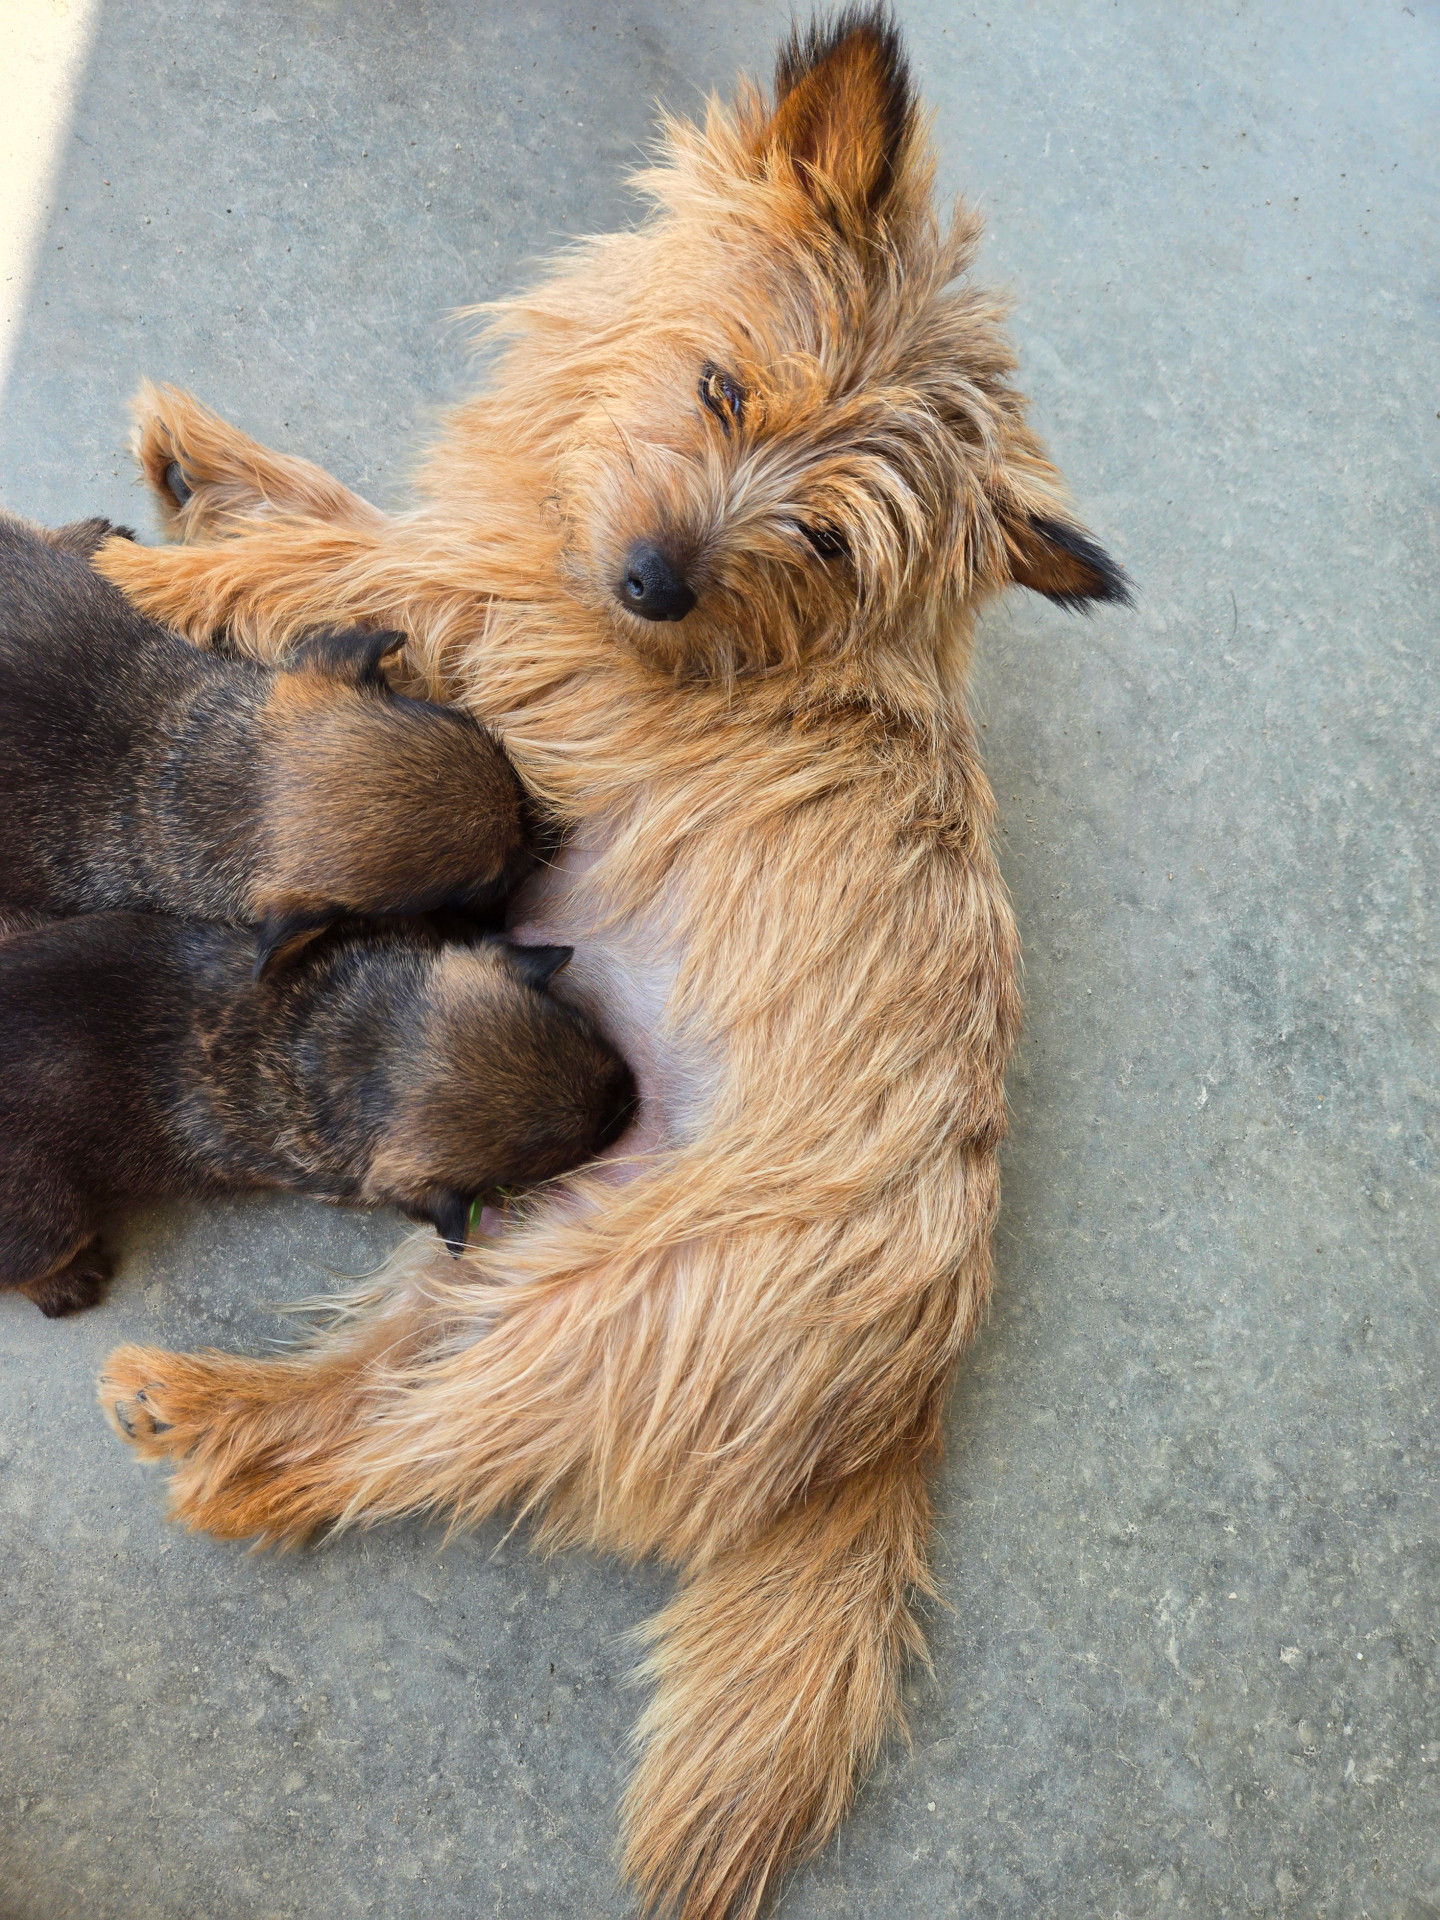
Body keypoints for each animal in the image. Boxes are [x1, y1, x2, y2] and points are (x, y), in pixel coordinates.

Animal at [0, 911, 632, 1317]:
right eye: (565, 1155)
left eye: (583, 1024)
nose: (632, 1099)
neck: (349, 1048)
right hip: (51, 1216)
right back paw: (67, 1283)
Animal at [94, 10, 1129, 1915]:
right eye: (726, 390)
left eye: (825, 534)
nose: (650, 578)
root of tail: (914, 1400)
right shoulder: (499, 545)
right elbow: (372, 512)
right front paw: (205, 461)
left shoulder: (500, 635)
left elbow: (350, 556)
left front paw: (170, 574)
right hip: (502, 1254)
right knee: (376, 1388)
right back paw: (208, 1404)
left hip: (591, 1316)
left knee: (372, 1457)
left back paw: (218, 1443)